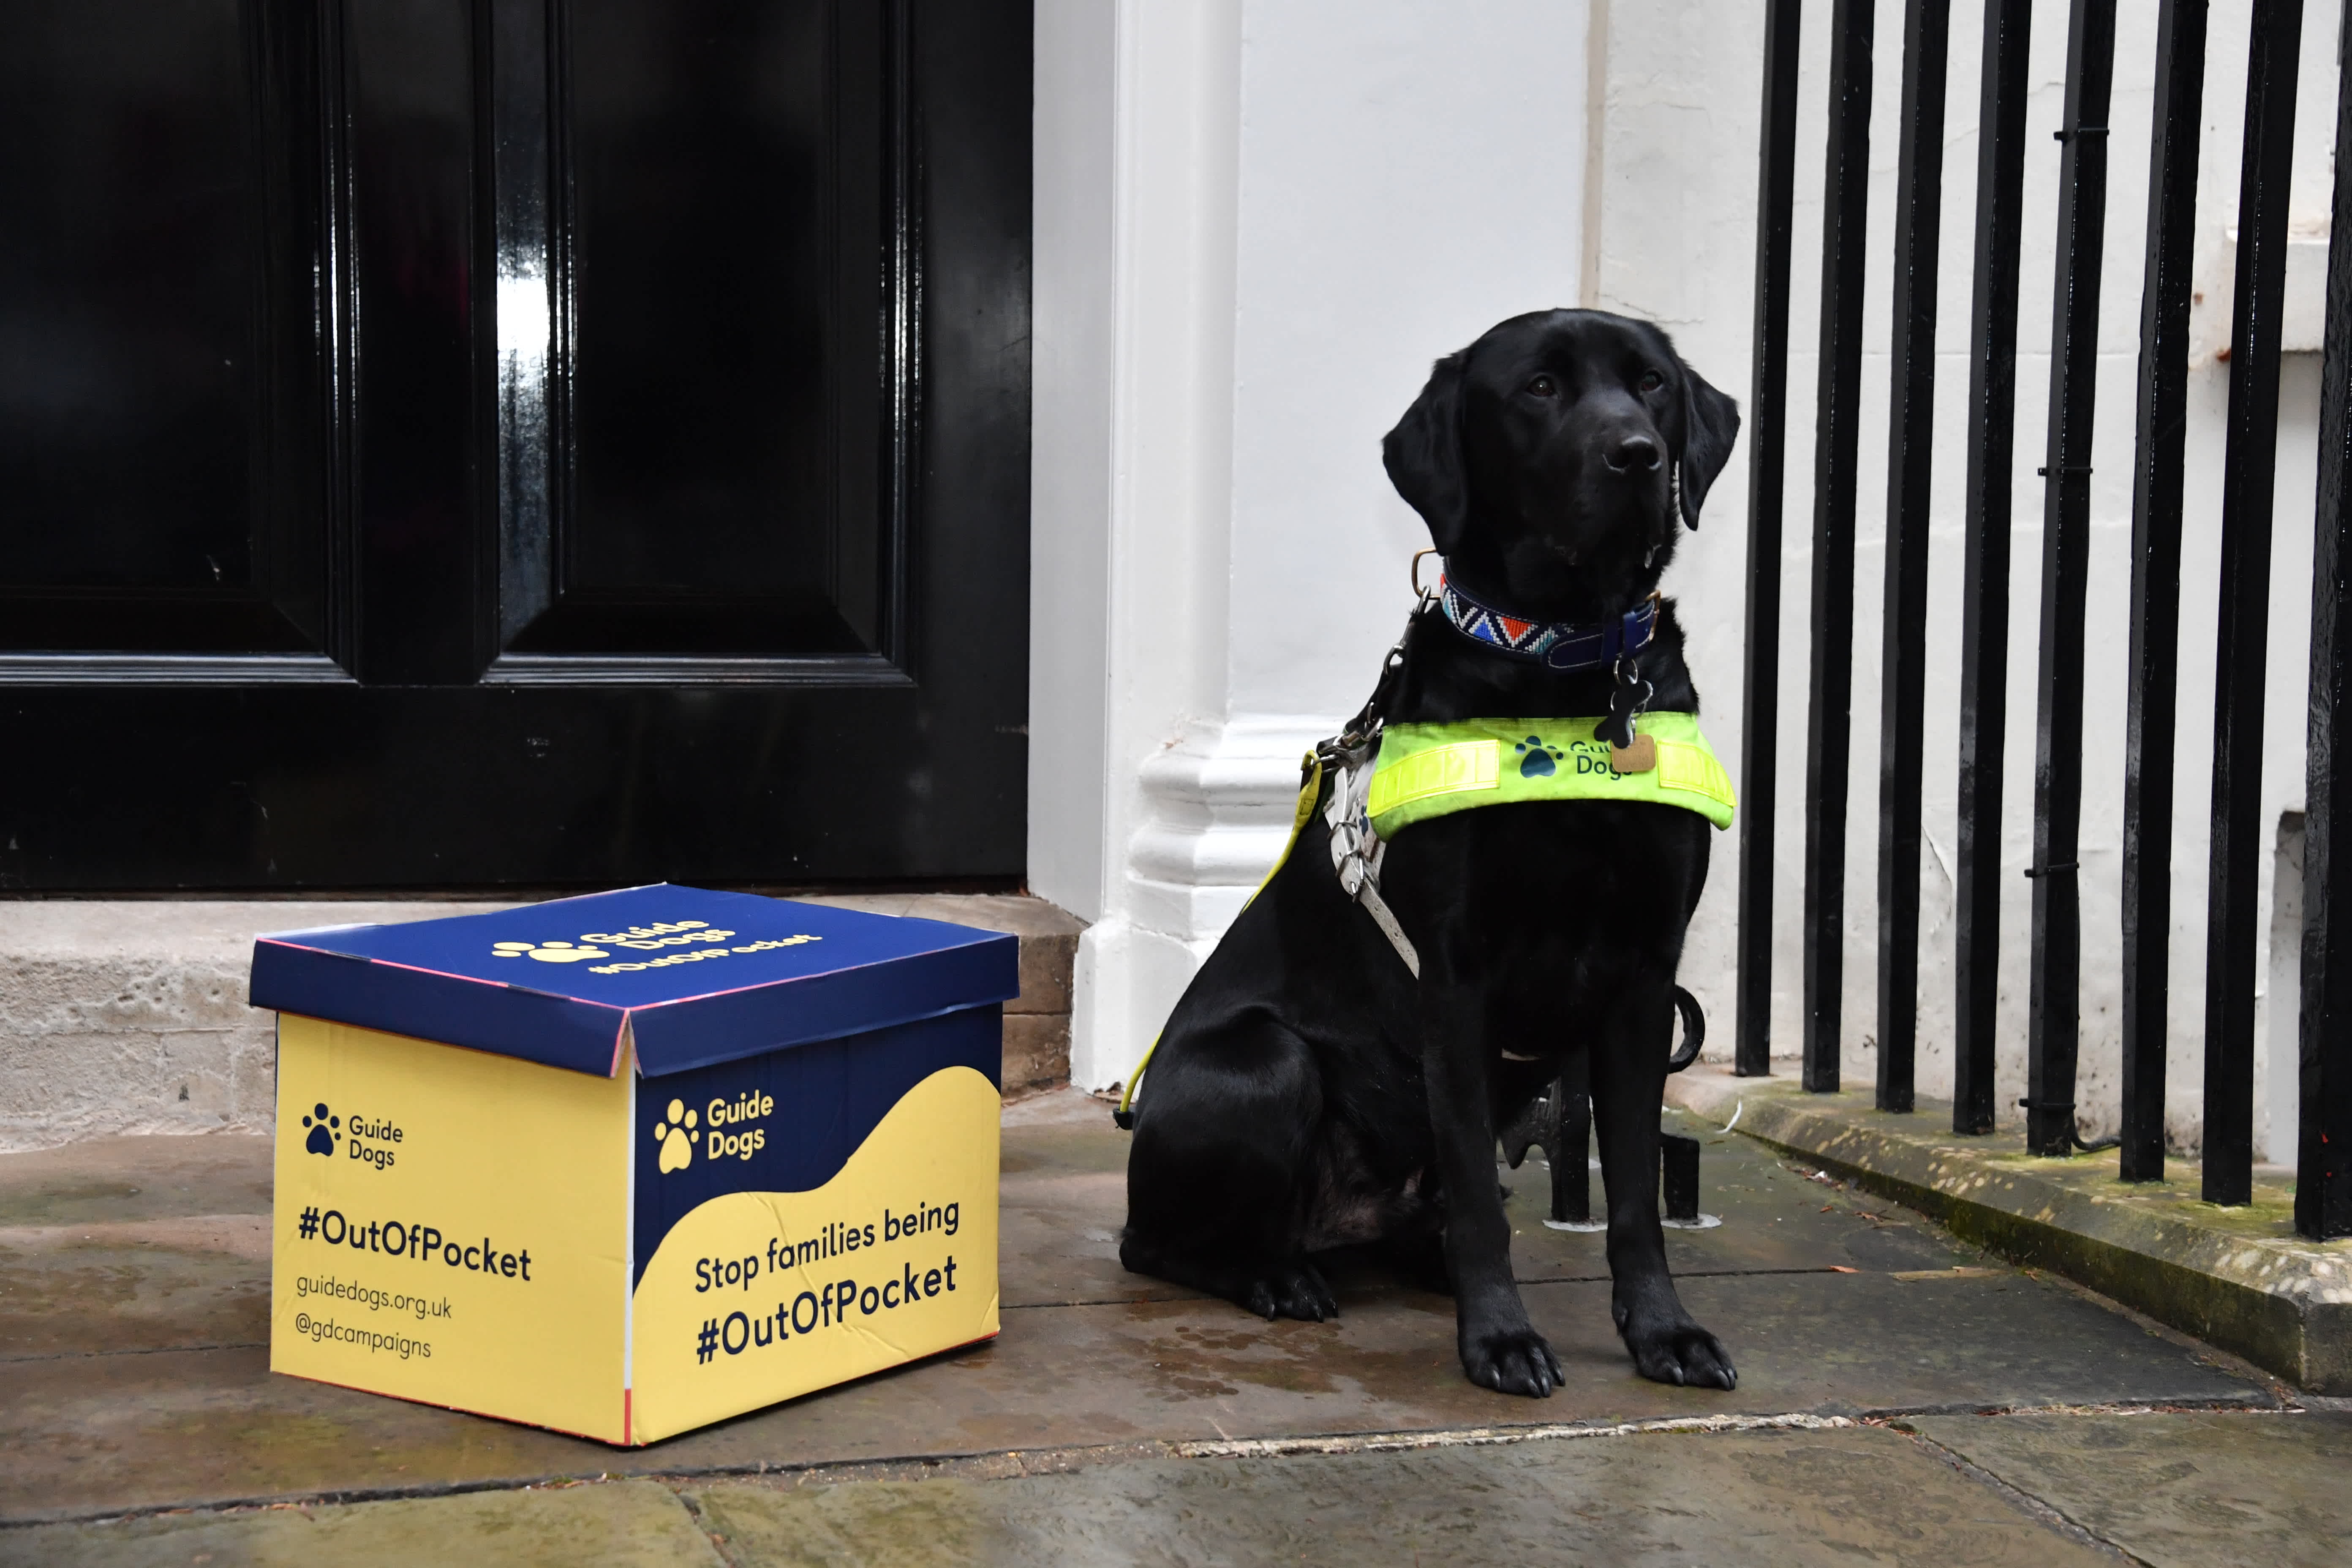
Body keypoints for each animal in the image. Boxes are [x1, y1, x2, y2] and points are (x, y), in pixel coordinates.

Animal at [1119, 310, 1750, 1401]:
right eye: (1539, 387)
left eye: (1653, 386)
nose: (1637, 454)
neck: (1567, 662)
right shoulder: (1456, 976)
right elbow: (1481, 1197)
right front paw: (1500, 1339)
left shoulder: (1643, 973)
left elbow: (1633, 1194)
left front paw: (1664, 1332)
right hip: (1264, 1061)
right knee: (1161, 1243)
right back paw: (1277, 1276)